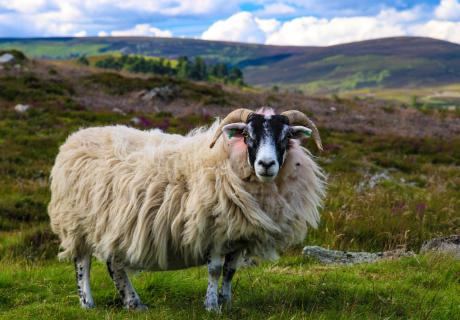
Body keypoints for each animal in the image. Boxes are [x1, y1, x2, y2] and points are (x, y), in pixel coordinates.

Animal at [48, 107, 326, 310]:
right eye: (248, 135)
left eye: (285, 136)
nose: (266, 164)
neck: (226, 160)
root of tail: (75, 138)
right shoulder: (213, 228)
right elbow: (214, 270)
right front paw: (211, 306)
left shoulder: (238, 234)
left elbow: (230, 271)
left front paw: (227, 303)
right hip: (78, 222)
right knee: (82, 263)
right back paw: (88, 303)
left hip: (111, 224)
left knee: (114, 264)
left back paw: (134, 304)